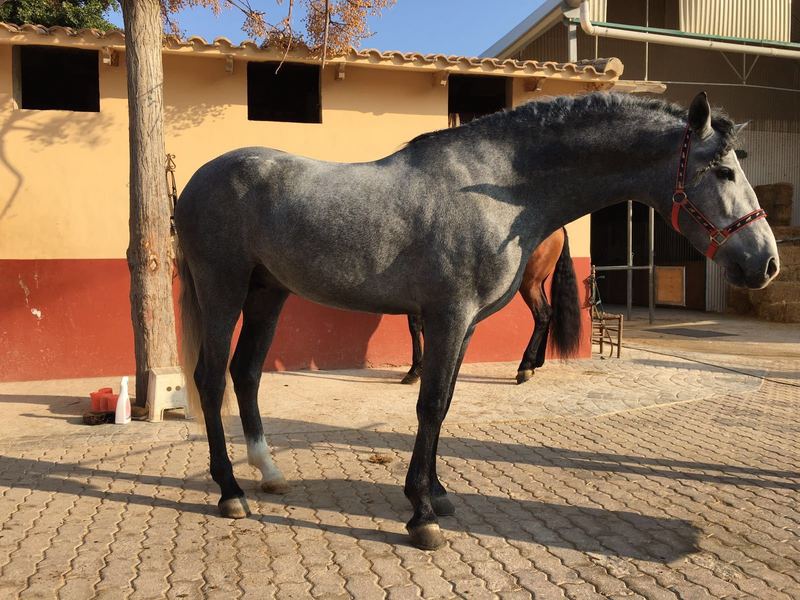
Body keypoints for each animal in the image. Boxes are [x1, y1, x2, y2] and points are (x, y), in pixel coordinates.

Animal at [400, 227, 582, 386]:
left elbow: (415, 326)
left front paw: (416, 370)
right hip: (538, 283)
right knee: (547, 314)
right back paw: (535, 363)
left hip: (530, 283)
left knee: (543, 315)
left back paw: (525, 367)